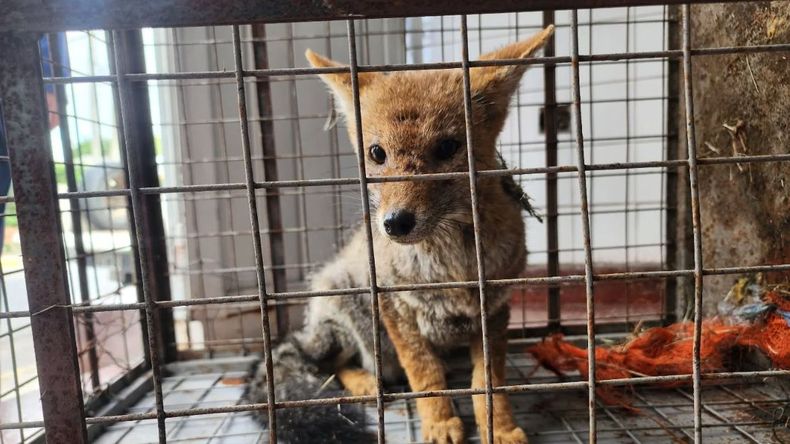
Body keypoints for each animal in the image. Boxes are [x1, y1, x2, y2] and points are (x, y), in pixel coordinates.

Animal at [247, 25, 555, 444]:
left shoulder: (494, 310)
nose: (395, 222)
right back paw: (365, 383)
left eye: (447, 147)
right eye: (377, 153)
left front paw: (501, 427)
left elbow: (488, 382)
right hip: (351, 311)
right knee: (331, 366)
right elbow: (426, 375)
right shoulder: (396, 311)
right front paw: (440, 423)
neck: (450, 266)